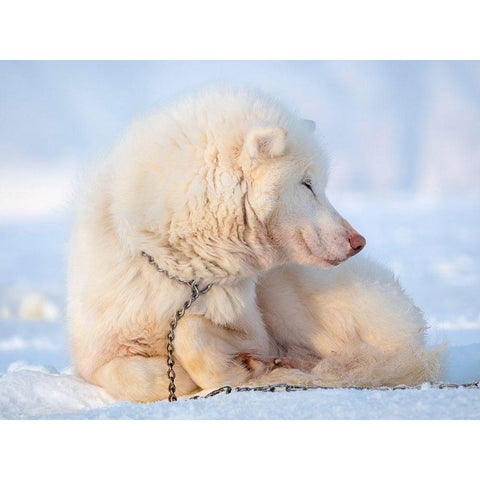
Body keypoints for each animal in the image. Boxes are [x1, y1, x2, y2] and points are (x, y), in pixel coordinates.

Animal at [68, 86, 442, 402]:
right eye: (306, 184)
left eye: (320, 184)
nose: (358, 241)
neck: (183, 270)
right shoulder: (98, 351)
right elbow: (127, 375)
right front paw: (180, 379)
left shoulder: (253, 331)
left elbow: (190, 330)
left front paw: (231, 371)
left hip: (292, 299)